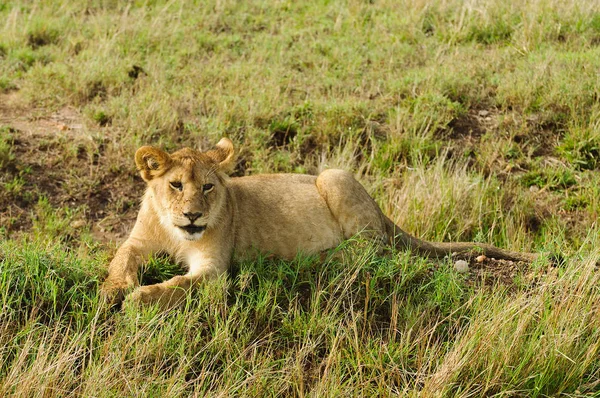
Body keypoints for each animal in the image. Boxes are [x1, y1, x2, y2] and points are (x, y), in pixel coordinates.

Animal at [99, 138, 540, 310]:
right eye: (175, 185)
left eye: (208, 187)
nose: (193, 214)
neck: (176, 233)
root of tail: (382, 210)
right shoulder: (138, 240)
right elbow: (121, 258)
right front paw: (113, 290)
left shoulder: (214, 270)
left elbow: (178, 286)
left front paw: (139, 297)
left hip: (334, 176)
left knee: (370, 250)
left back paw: (316, 259)